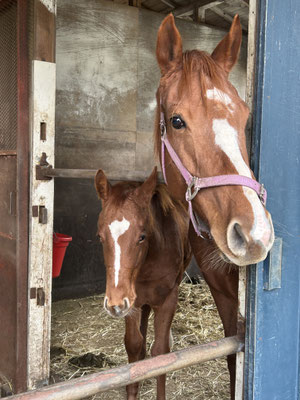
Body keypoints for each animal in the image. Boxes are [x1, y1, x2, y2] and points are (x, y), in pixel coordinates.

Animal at [95, 166, 191, 400]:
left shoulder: (167, 299)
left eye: (142, 236)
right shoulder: (132, 302)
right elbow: (134, 344)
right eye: (100, 237)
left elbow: (161, 352)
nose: (114, 304)